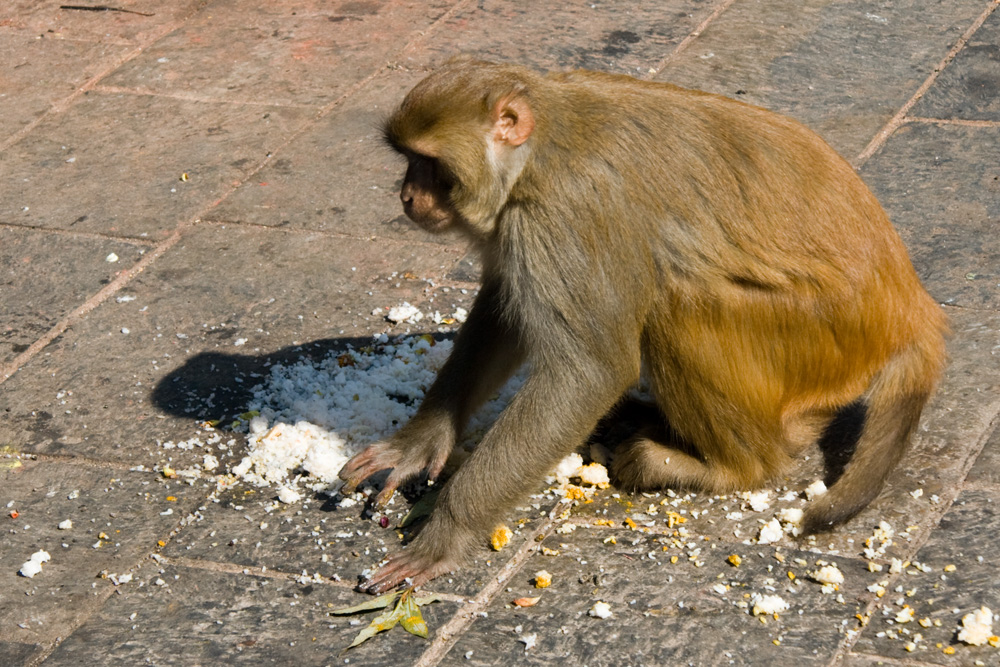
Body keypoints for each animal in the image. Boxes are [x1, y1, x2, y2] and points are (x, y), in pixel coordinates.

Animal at [336, 56, 944, 588]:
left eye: (431, 163)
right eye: (407, 158)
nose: (407, 196)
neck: (537, 152)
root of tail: (911, 308)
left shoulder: (563, 213)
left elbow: (589, 371)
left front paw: (447, 532)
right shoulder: (521, 227)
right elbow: (505, 307)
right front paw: (420, 442)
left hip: (818, 336)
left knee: (676, 303)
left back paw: (726, 467)